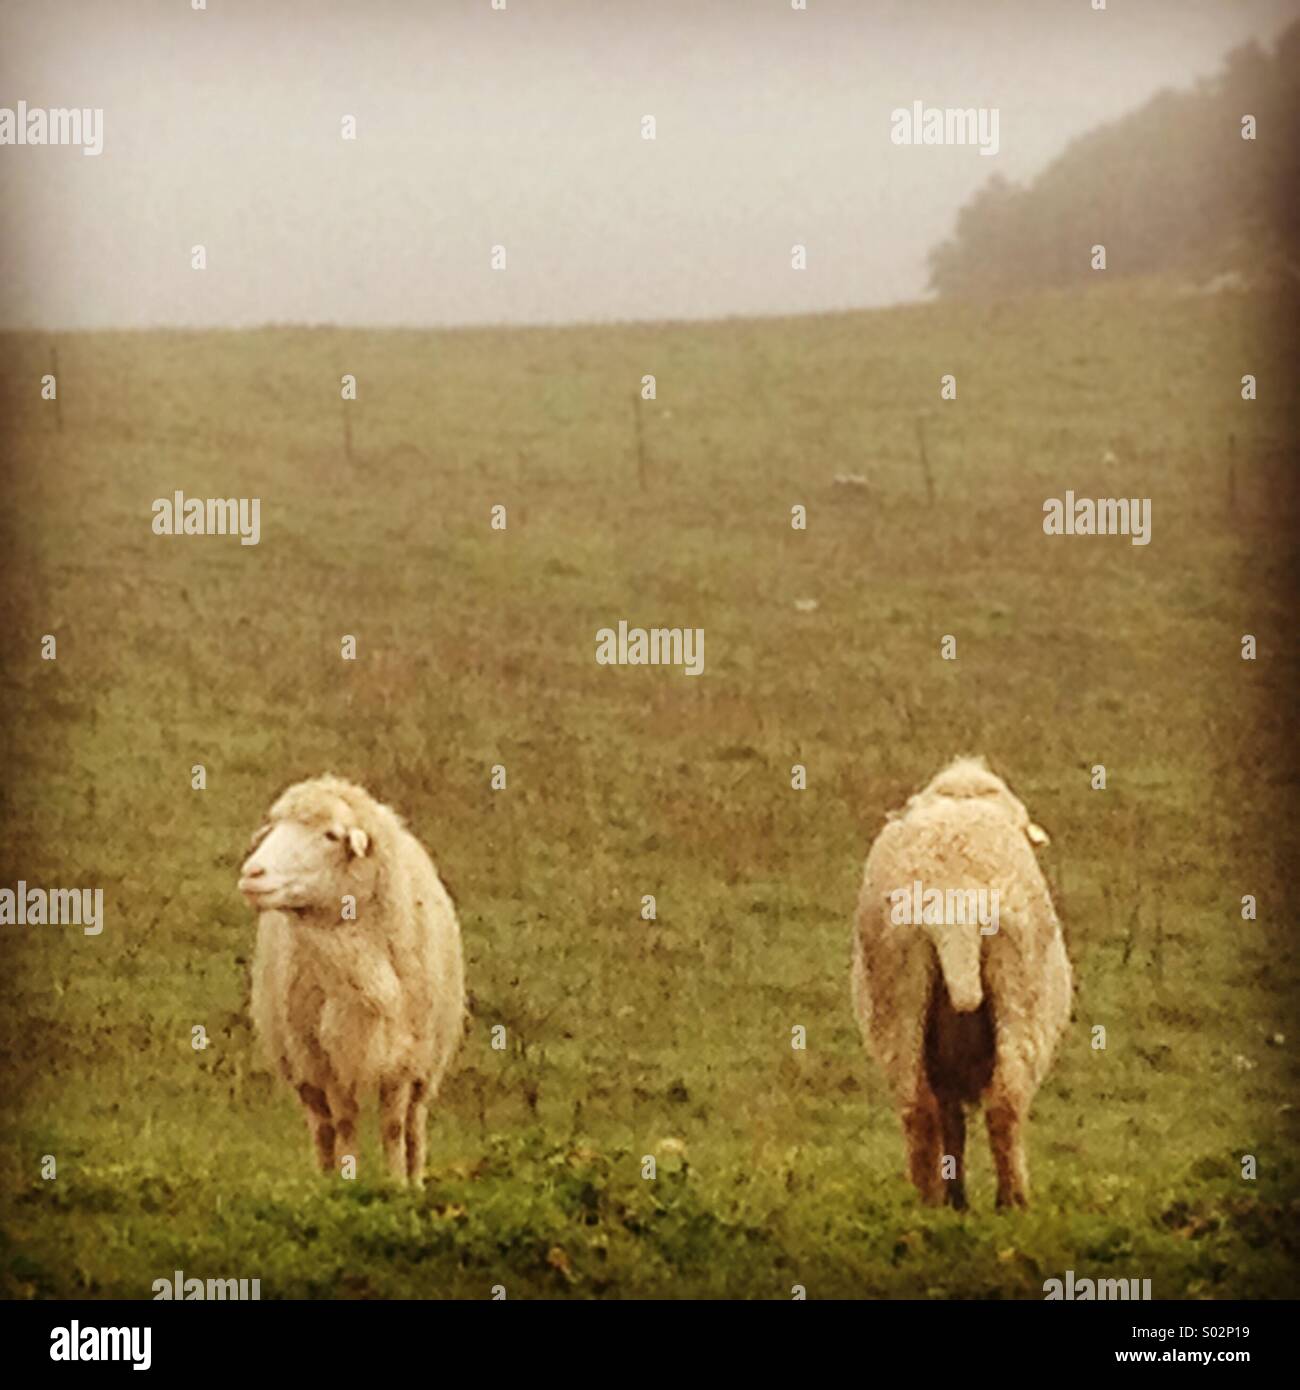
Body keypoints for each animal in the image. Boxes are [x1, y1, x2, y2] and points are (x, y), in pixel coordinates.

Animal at [238, 775, 465, 1186]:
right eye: (274, 827)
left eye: (330, 835)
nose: (252, 874)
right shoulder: (328, 1057)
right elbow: (344, 1124)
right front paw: (346, 1184)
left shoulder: (404, 1058)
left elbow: (393, 1127)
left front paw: (397, 1186)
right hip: (300, 1061)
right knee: (323, 1128)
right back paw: (324, 1177)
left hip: (429, 1065)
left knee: (415, 1126)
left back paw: (416, 1180)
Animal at [851, 756, 1072, 1209]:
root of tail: (955, 897)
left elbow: (949, 1119)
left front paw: (957, 1196)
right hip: (1023, 991)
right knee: (1006, 1100)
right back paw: (1013, 1201)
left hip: (898, 991)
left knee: (918, 1105)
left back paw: (930, 1201)